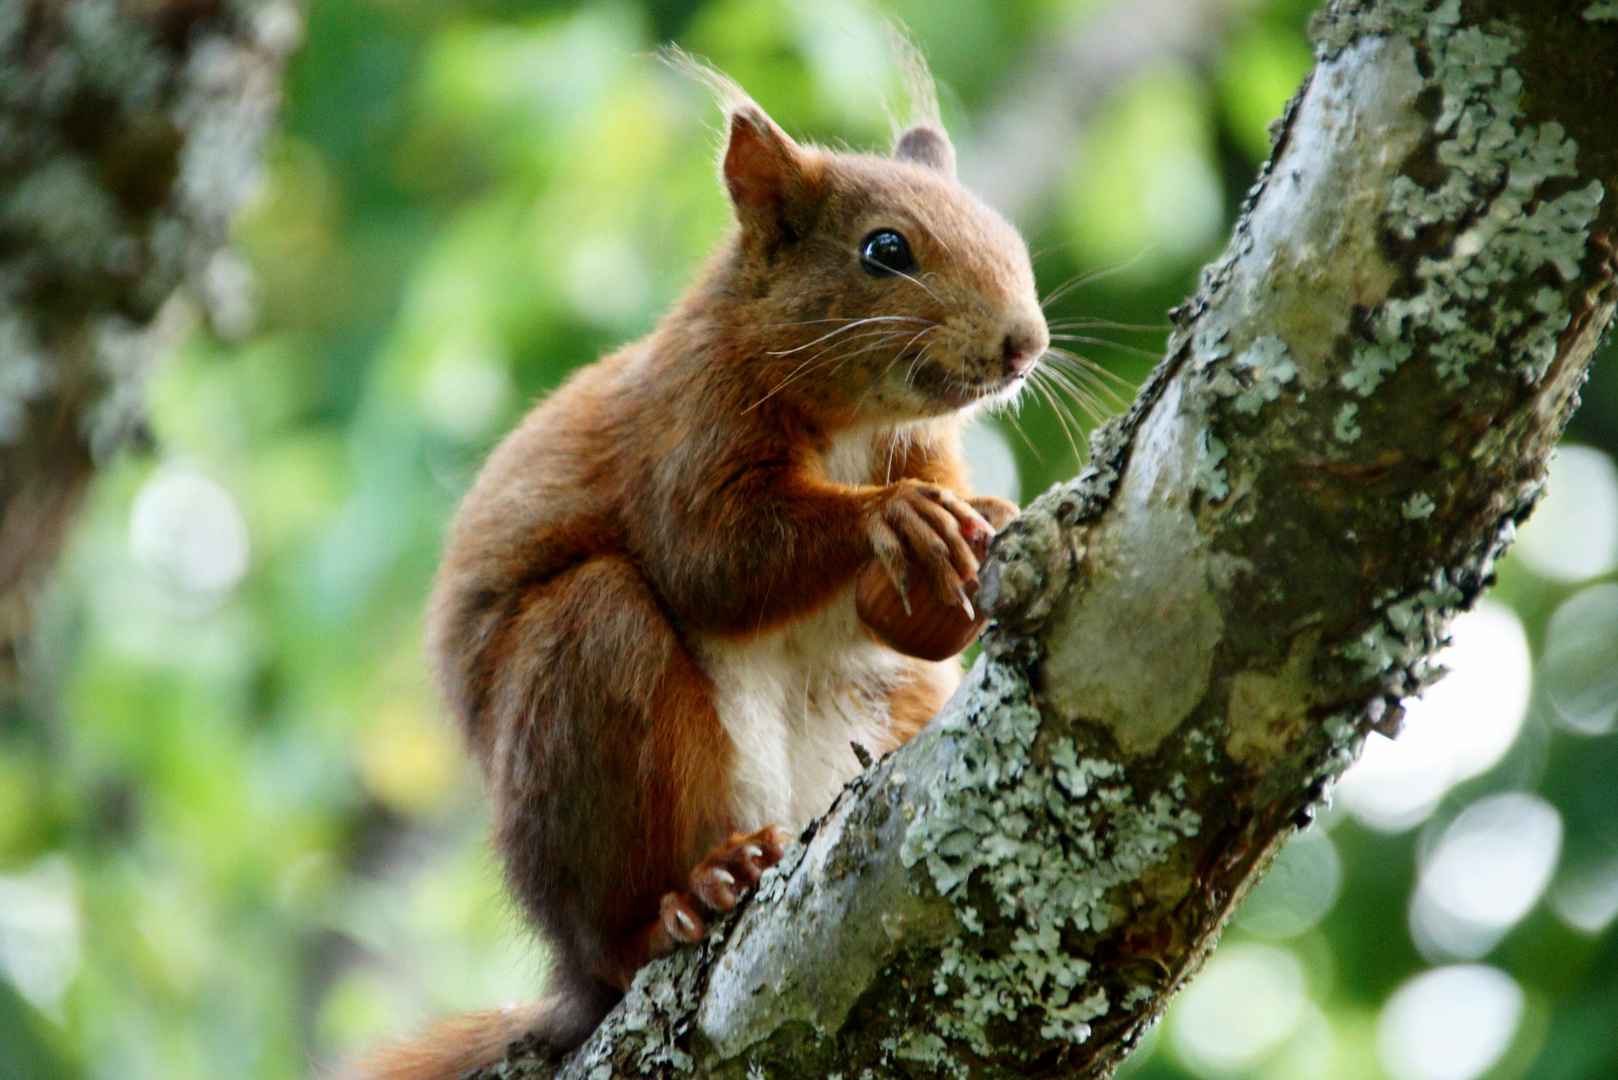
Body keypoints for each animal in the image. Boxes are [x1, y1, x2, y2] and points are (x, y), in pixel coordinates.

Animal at [346, 61, 1041, 1080]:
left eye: (1008, 234)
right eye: (885, 250)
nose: (1024, 343)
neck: (857, 419)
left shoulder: (929, 447)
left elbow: (907, 619)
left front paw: (979, 534)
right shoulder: (687, 424)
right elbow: (714, 556)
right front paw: (892, 518)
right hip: (587, 690)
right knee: (614, 928)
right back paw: (689, 900)